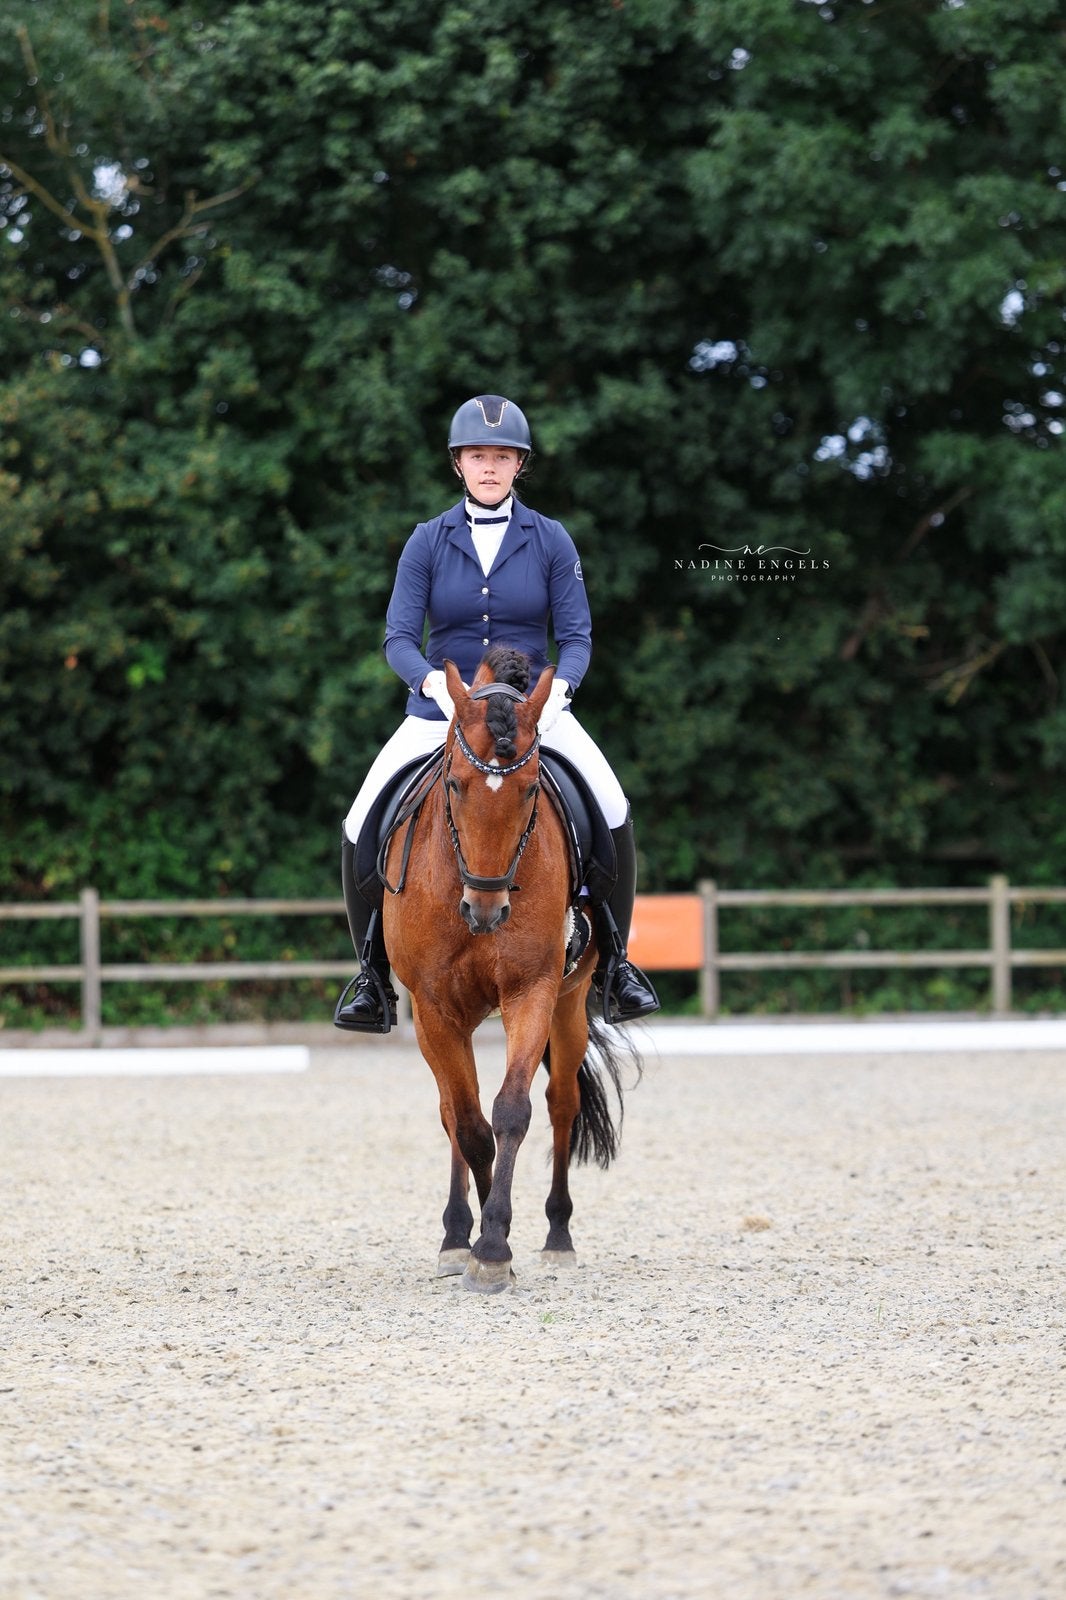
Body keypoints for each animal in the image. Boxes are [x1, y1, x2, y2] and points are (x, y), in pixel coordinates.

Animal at [382, 645, 638, 1294]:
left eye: (528, 791)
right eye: (454, 783)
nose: (486, 909)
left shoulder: (533, 990)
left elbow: (511, 1111)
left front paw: (496, 1244)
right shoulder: (435, 1007)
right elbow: (470, 1124)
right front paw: (477, 1241)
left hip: (570, 1003)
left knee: (561, 1102)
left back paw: (557, 1236)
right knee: (451, 1112)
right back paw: (454, 1234)